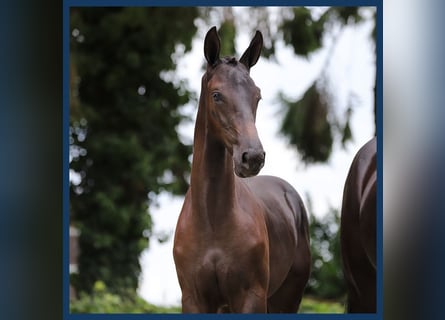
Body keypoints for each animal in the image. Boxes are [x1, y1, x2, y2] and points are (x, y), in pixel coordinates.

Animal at [172, 26, 310, 312]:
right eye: (216, 95)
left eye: (257, 95)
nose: (253, 157)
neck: (212, 220)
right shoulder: (194, 299)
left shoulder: (251, 297)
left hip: (287, 298)